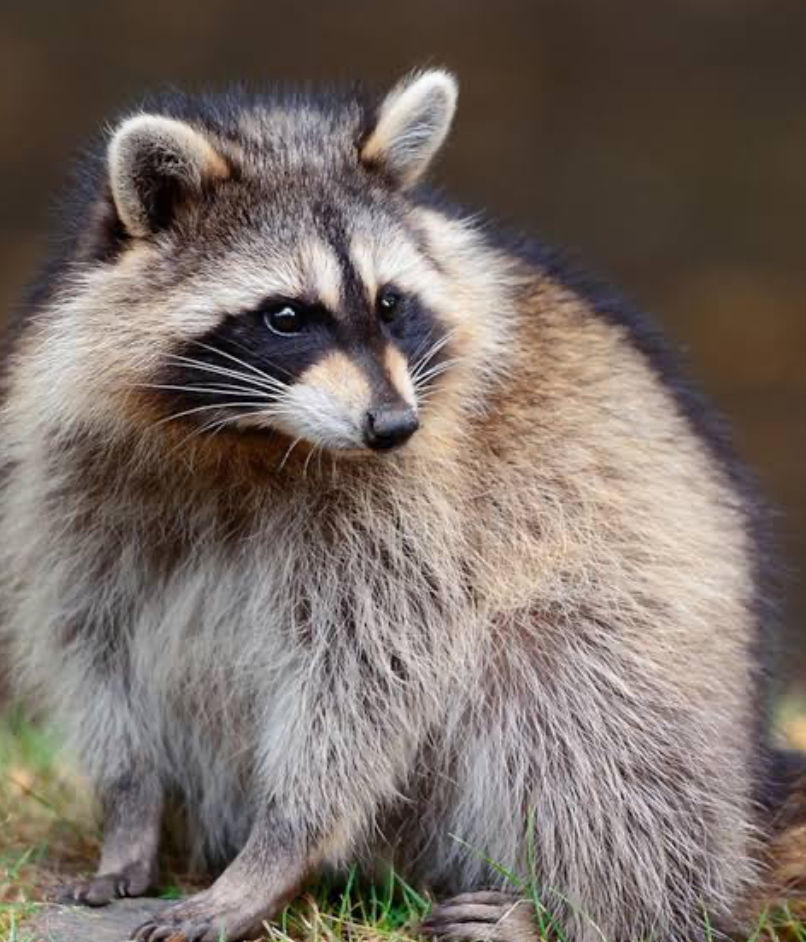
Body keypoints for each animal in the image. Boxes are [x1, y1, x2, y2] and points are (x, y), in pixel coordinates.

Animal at [0, 68, 800, 942]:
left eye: (390, 304)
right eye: (287, 315)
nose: (392, 426)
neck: (248, 434)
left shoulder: (416, 509)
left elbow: (367, 675)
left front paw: (279, 847)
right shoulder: (73, 479)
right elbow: (95, 644)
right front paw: (130, 809)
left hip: (662, 684)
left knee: (566, 700)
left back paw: (575, 907)